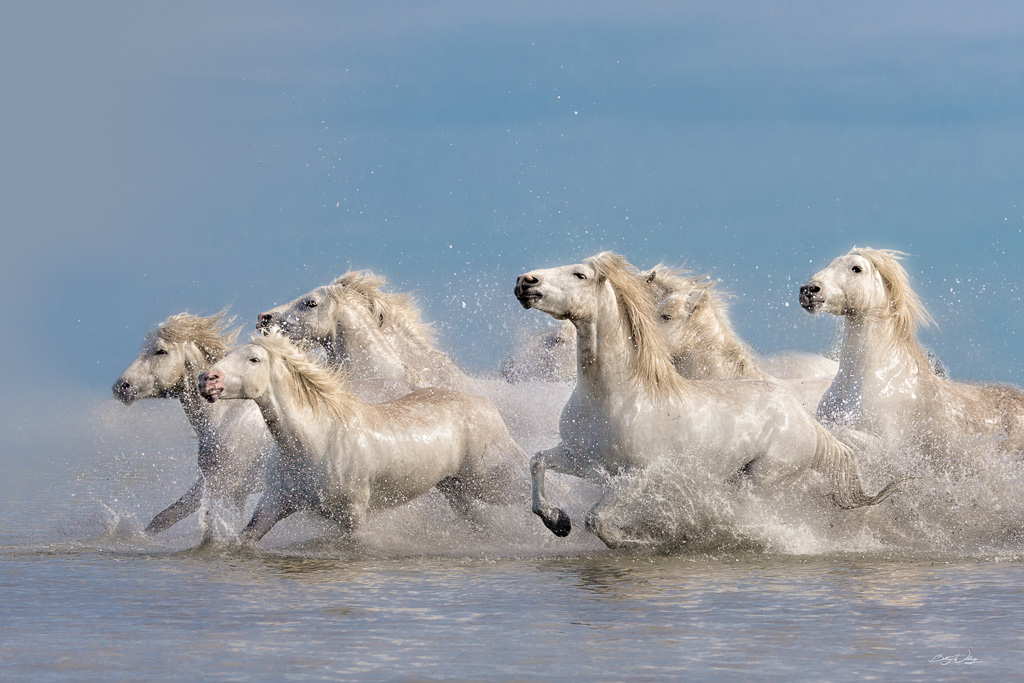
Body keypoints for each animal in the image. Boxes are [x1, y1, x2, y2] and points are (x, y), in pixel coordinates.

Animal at [112, 313, 274, 540]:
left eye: (160, 351)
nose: (121, 387)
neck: (225, 418)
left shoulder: (218, 483)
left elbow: (165, 517)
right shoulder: (237, 493)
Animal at [196, 331, 524, 544]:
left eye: (254, 359)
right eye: (226, 355)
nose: (207, 380)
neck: (313, 443)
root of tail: (486, 405)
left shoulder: (353, 516)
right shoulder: (272, 504)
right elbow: (244, 540)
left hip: (490, 481)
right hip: (455, 488)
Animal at [516, 253, 892, 548]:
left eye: (580, 275)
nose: (525, 281)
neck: (614, 396)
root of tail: (807, 422)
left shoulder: (638, 475)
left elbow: (597, 520)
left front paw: (645, 542)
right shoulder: (583, 458)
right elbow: (537, 462)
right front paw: (557, 521)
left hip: (763, 479)